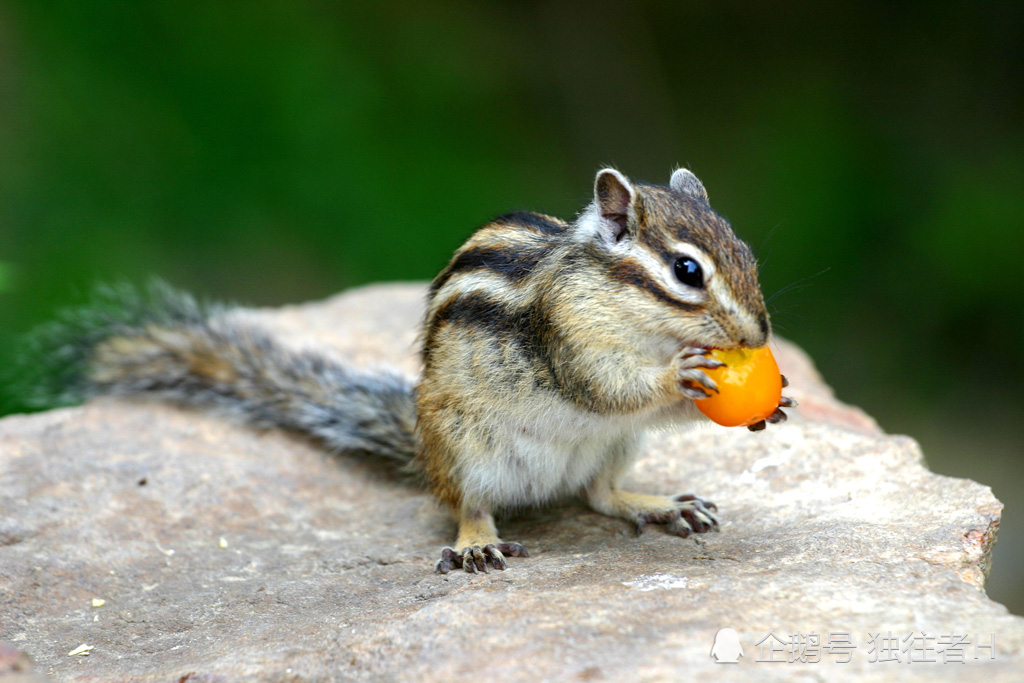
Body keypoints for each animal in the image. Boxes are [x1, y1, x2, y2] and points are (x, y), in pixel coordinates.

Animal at [22, 167, 790, 573]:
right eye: (687, 271)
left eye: (747, 253)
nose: (758, 333)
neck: (638, 320)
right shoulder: (567, 334)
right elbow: (604, 386)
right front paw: (677, 379)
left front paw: (774, 404)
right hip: (469, 449)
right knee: (470, 504)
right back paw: (478, 543)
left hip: (613, 448)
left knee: (600, 494)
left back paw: (656, 503)